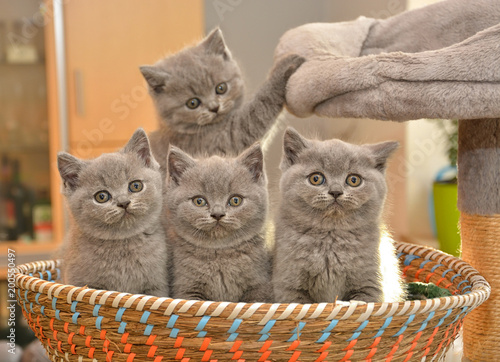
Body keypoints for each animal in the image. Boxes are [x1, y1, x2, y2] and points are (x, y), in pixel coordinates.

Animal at [57, 129, 169, 296]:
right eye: (101, 196)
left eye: (135, 186)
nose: (124, 202)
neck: (123, 243)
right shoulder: (81, 282)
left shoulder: (157, 285)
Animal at [140, 27, 304, 167]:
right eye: (192, 103)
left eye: (221, 88)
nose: (214, 107)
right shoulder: (221, 142)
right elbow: (255, 115)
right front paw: (284, 67)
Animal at [166, 143, 272, 302]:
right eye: (199, 201)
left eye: (235, 200)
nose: (217, 214)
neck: (221, 255)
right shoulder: (186, 288)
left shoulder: (259, 286)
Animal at [272, 129, 404, 304]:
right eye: (316, 178)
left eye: (354, 180)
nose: (335, 191)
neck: (331, 236)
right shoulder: (288, 286)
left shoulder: (370, 286)